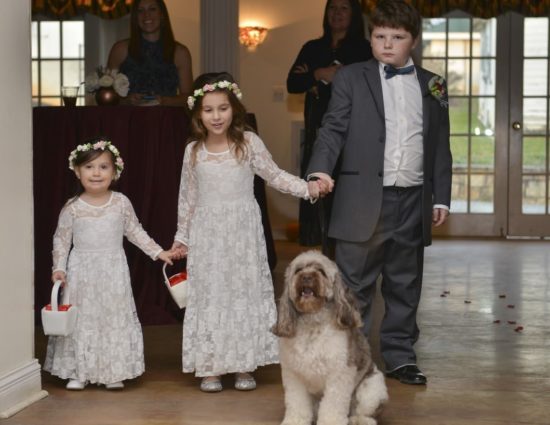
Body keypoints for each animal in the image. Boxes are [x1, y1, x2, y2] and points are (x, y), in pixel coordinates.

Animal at [274, 250, 390, 424]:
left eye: (321, 271)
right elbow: (297, 404)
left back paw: (359, 420)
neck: (313, 324)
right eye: (298, 270)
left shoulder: (339, 375)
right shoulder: (294, 376)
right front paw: (295, 421)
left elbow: (332, 407)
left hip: (372, 391)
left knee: (364, 412)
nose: (306, 276)